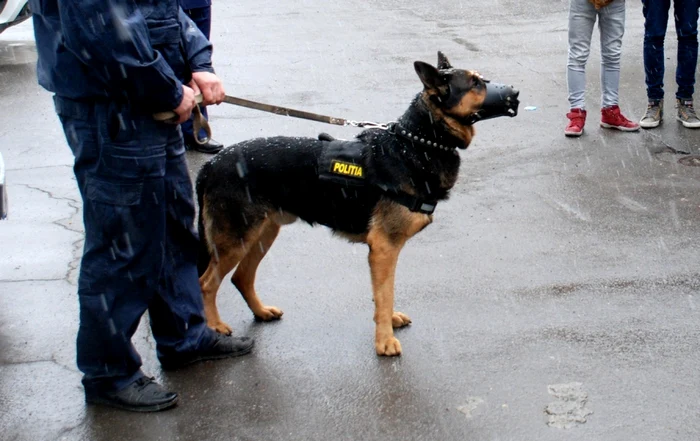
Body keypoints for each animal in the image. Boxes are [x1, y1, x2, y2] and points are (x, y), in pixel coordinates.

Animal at [197, 52, 520, 354]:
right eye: (475, 84)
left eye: (483, 78)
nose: (516, 93)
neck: (418, 142)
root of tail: (211, 165)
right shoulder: (384, 248)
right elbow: (385, 293)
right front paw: (385, 341)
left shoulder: (382, 252)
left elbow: (383, 292)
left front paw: (387, 323)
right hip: (236, 239)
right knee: (206, 283)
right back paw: (214, 327)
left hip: (262, 233)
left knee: (241, 277)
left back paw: (261, 312)